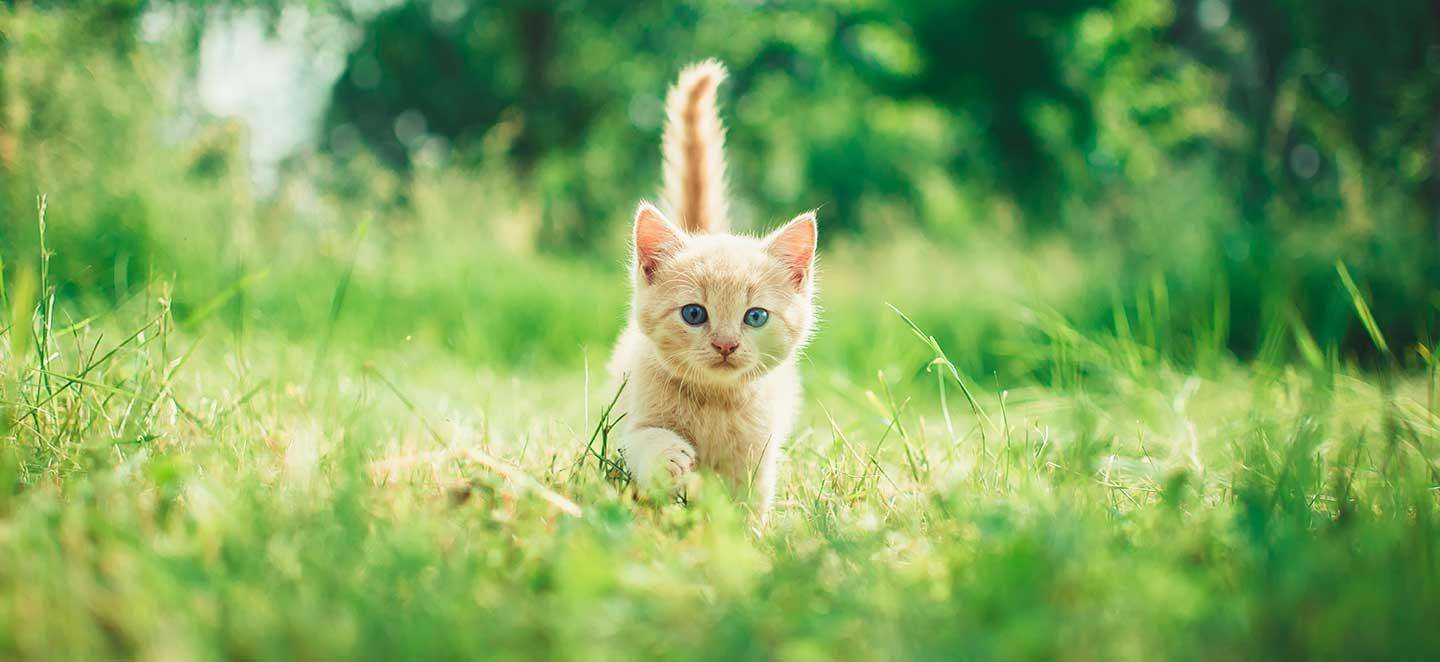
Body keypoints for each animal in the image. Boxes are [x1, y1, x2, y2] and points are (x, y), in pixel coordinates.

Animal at [601, 58, 817, 518]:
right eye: (694, 313)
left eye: (756, 316)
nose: (725, 345)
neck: (714, 404)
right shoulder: (632, 418)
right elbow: (640, 440)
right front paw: (668, 458)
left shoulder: (758, 454)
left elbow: (749, 502)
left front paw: (746, 534)